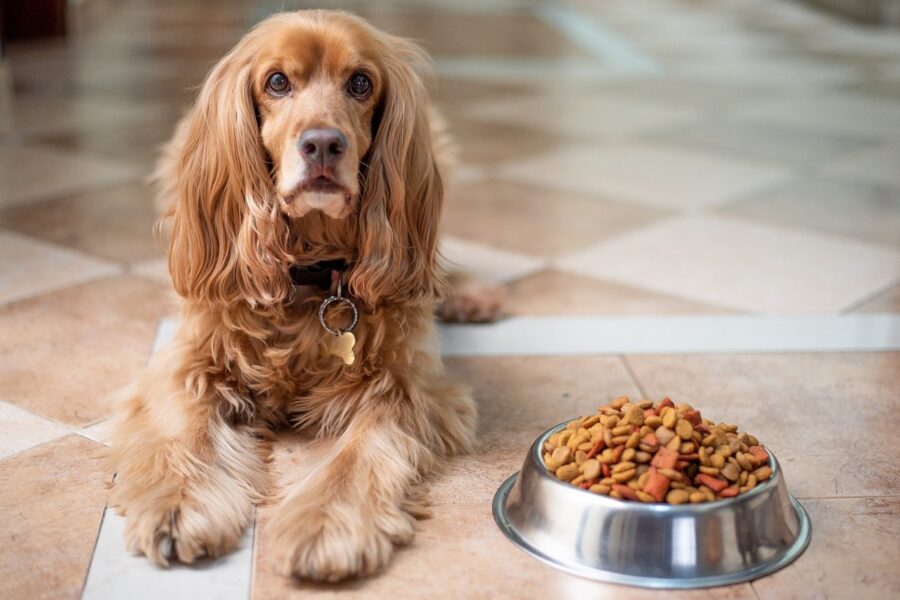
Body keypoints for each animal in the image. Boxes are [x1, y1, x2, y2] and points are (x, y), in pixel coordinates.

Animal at [111, 9, 492, 580]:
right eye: (276, 82)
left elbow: (359, 454)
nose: (323, 145)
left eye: (360, 83)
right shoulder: (188, 363)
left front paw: (326, 525)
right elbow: (187, 430)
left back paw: (469, 293)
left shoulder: (406, 387)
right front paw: (179, 505)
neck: (310, 273)